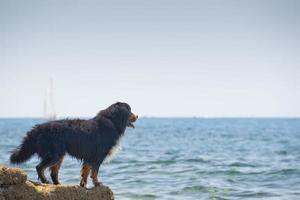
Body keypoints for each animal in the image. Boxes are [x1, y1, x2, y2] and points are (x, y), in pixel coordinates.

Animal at [9, 102, 138, 187]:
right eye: (129, 110)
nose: (137, 116)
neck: (112, 121)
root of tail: (37, 129)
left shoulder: (89, 156)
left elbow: (85, 172)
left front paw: (83, 185)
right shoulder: (98, 156)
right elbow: (94, 172)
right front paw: (97, 183)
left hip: (59, 155)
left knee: (53, 172)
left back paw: (58, 184)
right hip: (55, 154)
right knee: (40, 167)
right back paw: (45, 181)